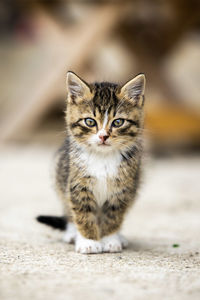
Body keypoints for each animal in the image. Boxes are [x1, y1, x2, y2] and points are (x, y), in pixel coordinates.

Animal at [36, 71, 145, 254]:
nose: (103, 136)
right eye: (90, 121)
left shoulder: (123, 189)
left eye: (118, 122)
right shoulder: (77, 184)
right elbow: (83, 214)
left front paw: (110, 239)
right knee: (68, 211)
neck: (103, 158)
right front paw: (89, 241)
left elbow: (114, 215)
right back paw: (72, 233)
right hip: (59, 174)